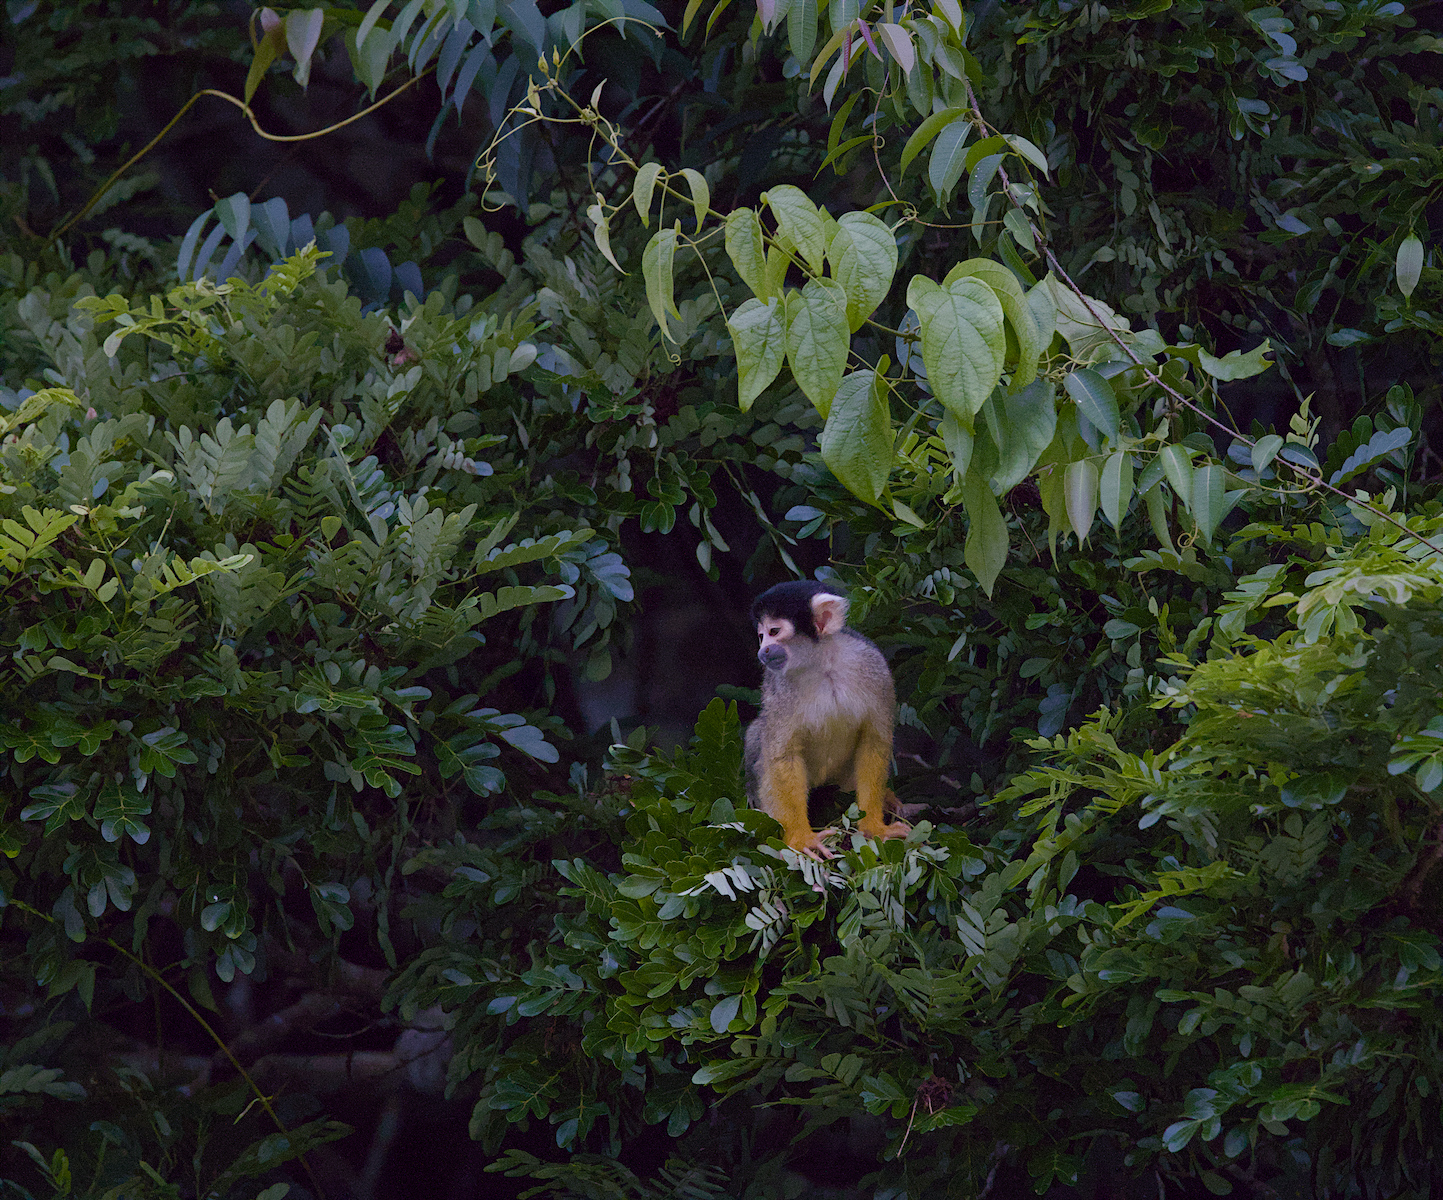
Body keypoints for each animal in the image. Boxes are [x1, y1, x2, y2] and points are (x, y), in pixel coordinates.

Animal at [743, 580, 910, 859]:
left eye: (774, 631)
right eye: (760, 635)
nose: (762, 651)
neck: (823, 666)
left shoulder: (874, 667)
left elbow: (874, 740)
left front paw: (874, 826)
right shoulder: (778, 687)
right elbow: (782, 754)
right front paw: (801, 839)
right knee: (759, 735)